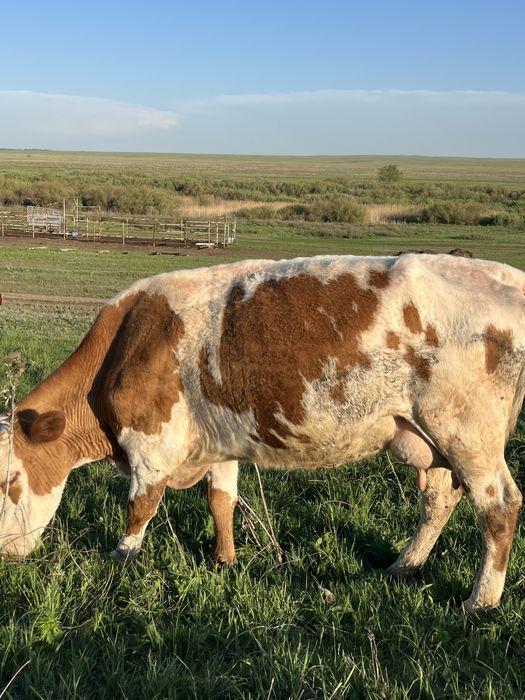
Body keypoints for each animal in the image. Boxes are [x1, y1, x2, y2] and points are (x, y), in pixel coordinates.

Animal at [1, 253, 524, 613]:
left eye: (10, 481)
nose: (5, 555)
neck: (123, 346)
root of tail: (506, 277)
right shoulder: (218, 444)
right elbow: (222, 502)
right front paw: (224, 560)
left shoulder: (151, 447)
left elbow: (140, 507)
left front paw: (121, 557)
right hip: (432, 438)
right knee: (439, 499)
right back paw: (403, 566)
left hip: (465, 434)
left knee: (499, 507)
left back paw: (480, 601)